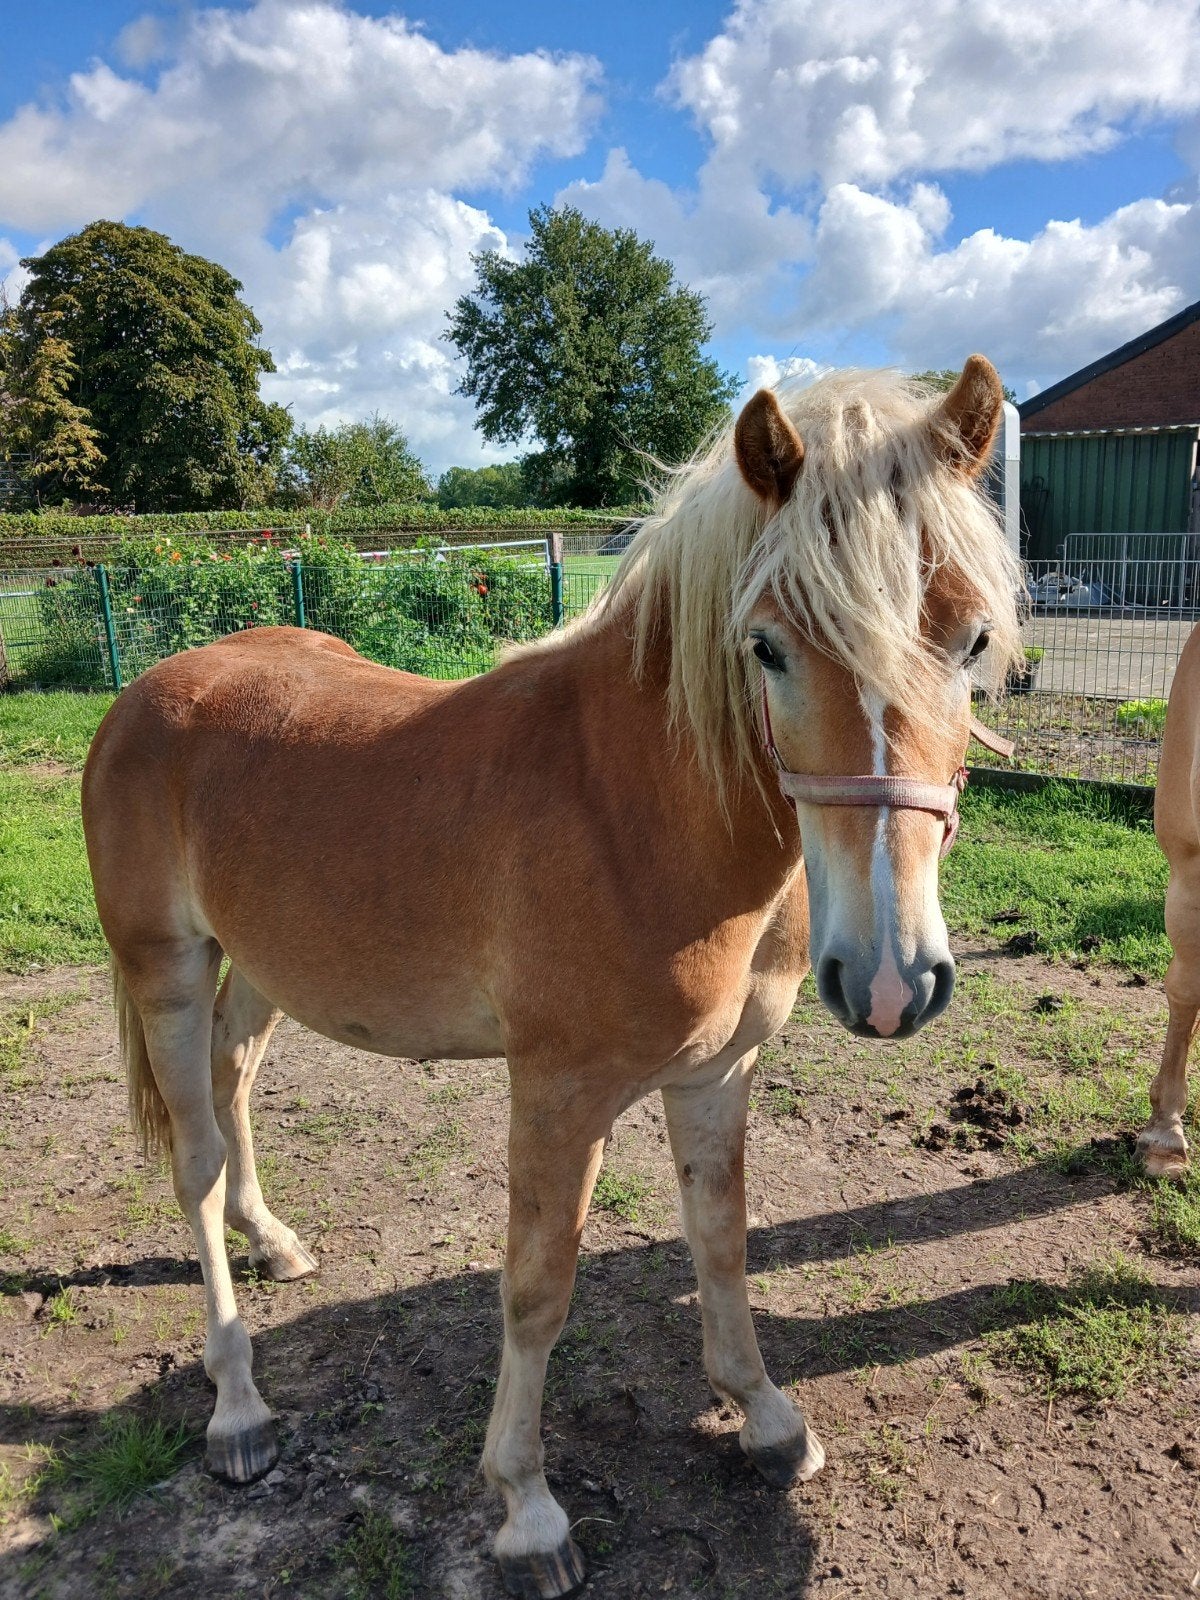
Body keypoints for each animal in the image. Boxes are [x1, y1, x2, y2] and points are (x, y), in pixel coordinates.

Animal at [81, 358, 1022, 1599]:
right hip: (169, 969)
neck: (634, 807)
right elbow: (536, 1288)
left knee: (236, 1078)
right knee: (190, 1160)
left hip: (267, 968)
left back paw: (272, 1239)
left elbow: (720, 1240)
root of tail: (144, 691)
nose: (887, 982)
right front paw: (526, 1509)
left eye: (970, 641)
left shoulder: (718, 1074)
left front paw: (766, 1415)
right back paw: (238, 1405)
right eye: (767, 646)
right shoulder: (560, 1093)